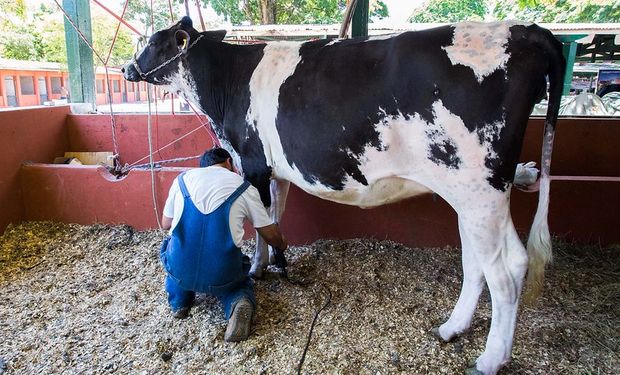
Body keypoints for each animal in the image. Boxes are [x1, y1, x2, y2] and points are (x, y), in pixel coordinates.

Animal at [123, 18, 564, 375]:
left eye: (154, 42)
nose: (128, 67)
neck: (226, 83)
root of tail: (527, 30)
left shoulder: (254, 164)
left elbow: (261, 223)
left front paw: (258, 269)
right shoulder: (276, 172)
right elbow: (274, 216)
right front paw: (273, 264)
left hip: (480, 191)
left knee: (505, 272)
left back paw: (490, 360)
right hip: (474, 196)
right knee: (488, 262)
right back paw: (452, 328)